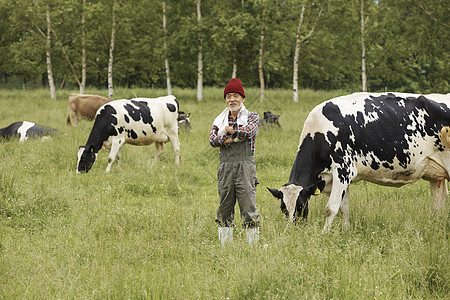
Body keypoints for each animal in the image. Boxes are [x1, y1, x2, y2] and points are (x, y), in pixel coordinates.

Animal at [268, 92, 448, 233]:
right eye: (283, 208)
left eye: (301, 206)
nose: (292, 231)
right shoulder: (341, 178)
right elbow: (344, 208)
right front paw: (346, 231)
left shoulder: (342, 170)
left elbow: (331, 208)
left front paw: (323, 234)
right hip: (436, 177)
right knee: (438, 206)